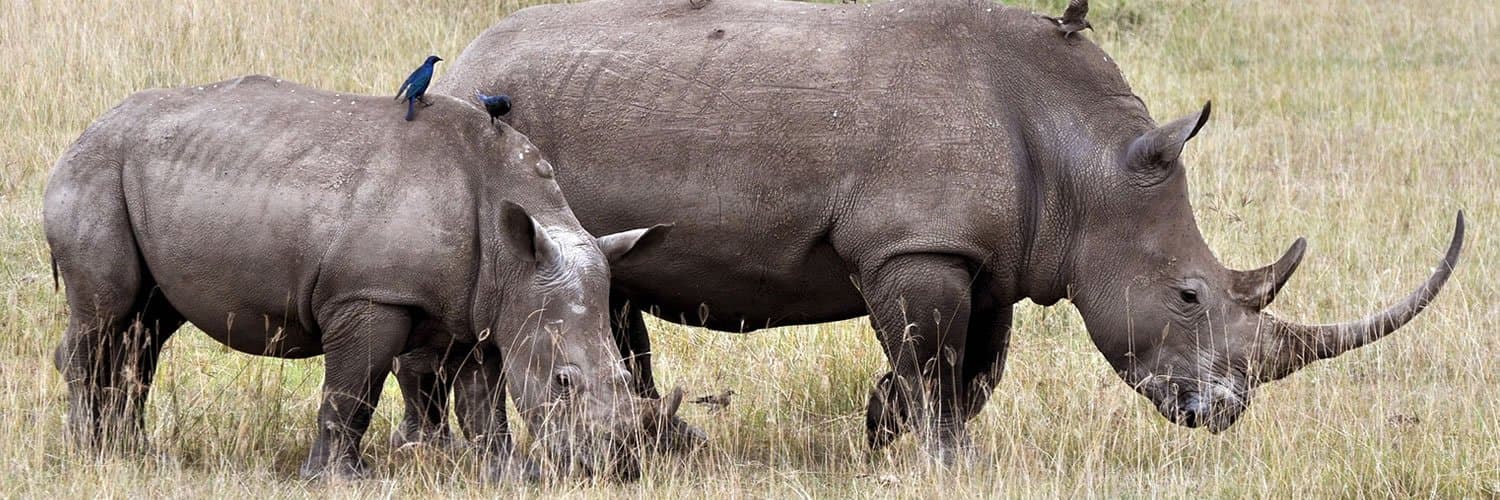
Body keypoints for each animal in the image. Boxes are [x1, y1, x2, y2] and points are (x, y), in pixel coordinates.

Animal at [42, 75, 672, 480]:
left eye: (625, 377)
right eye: (564, 381)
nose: (620, 468)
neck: (514, 253)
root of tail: (86, 129)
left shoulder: (488, 303)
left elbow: (483, 400)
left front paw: (512, 475)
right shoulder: (370, 294)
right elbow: (352, 390)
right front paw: (340, 480)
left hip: (139, 178)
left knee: (146, 325)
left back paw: (135, 454)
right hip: (96, 169)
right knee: (108, 310)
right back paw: (88, 454)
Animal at [401, 0, 1464, 462]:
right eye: (1189, 294)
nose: (1224, 413)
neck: (1087, 156)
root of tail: (470, 57)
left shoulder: (992, 254)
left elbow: (973, 366)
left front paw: (897, 435)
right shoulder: (915, 245)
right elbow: (931, 353)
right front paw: (930, 456)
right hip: (498, 122)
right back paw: (459, 454)